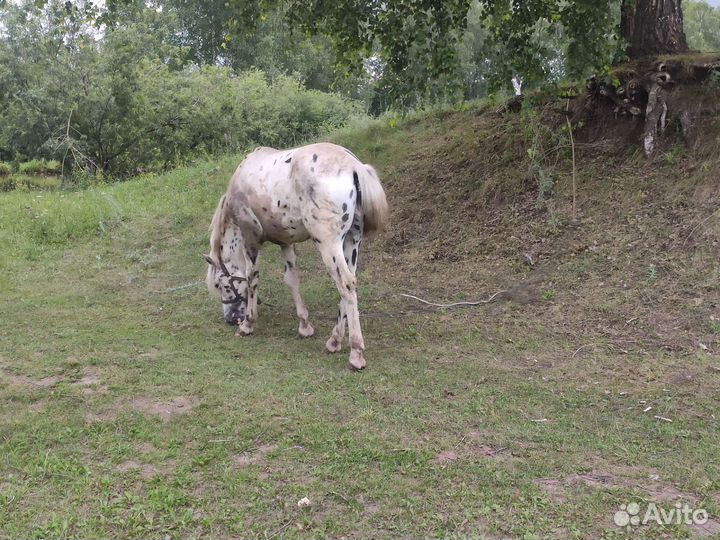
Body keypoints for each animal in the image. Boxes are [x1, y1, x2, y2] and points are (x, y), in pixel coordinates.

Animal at [204, 142, 389, 370]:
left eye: (221, 284)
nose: (230, 319)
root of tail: (353, 166)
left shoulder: (250, 240)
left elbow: (252, 278)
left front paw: (248, 324)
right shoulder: (285, 242)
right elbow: (291, 280)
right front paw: (304, 326)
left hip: (329, 245)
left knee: (345, 285)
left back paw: (355, 352)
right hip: (352, 242)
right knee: (348, 288)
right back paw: (334, 341)